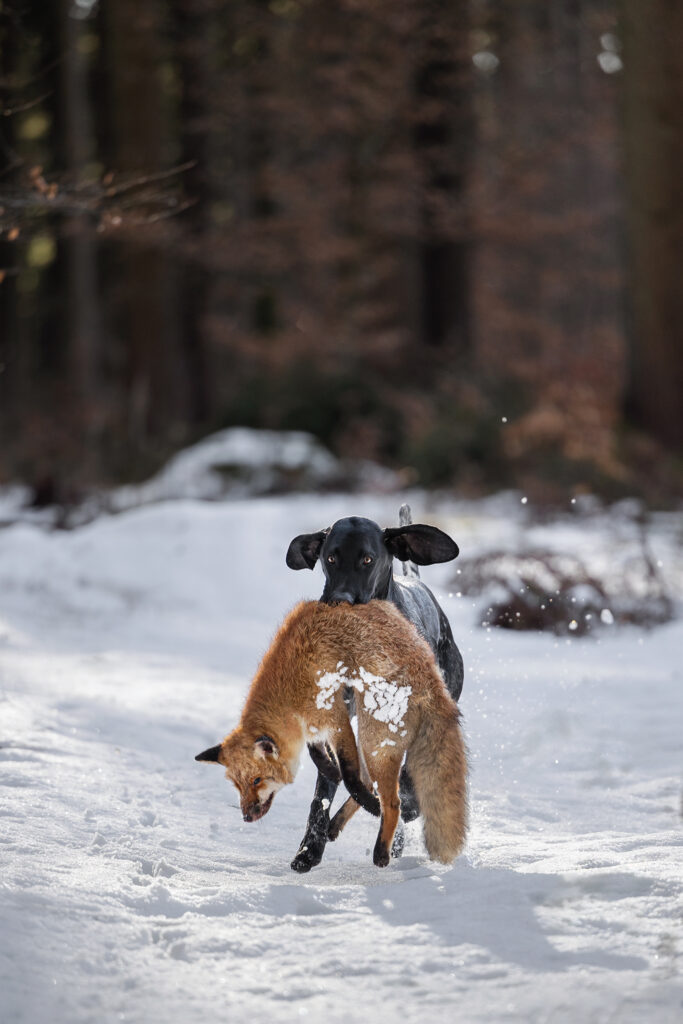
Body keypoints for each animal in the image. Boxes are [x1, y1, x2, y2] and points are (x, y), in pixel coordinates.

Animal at [196, 599, 467, 867]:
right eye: (237, 785)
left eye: (257, 780)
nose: (246, 816)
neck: (288, 686)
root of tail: (434, 681)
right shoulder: (315, 727)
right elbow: (320, 756)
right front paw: (330, 770)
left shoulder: (336, 718)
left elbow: (349, 777)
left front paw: (361, 797)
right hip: (371, 741)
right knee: (372, 784)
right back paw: (337, 824)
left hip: (371, 737)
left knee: (392, 802)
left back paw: (380, 849)